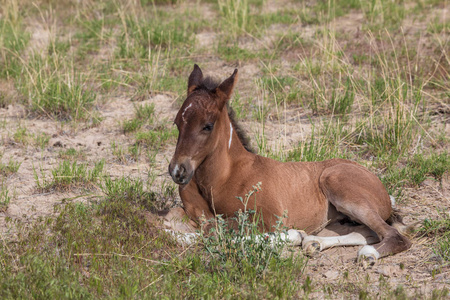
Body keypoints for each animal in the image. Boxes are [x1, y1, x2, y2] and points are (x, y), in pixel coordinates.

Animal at [168, 64, 412, 262]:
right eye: (177, 122)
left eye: (207, 126)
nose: (178, 171)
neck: (223, 178)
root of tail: (381, 187)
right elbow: (193, 224)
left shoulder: (268, 218)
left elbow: (216, 231)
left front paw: (293, 235)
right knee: (368, 232)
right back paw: (315, 243)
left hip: (337, 183)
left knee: (394, 235)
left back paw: (367, 254)